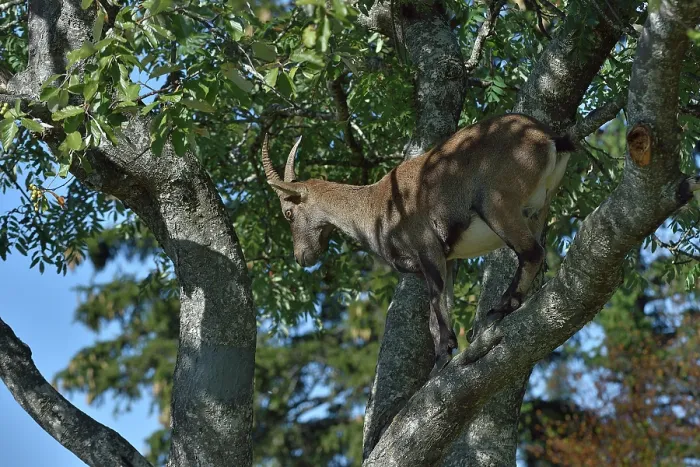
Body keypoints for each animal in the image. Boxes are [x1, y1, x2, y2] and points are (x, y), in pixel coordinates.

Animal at [262, 113, 575, 369]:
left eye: (288, 213)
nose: (303, 256)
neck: (375, 206)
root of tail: (546, 137)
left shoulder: (427, 247)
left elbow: (434, 306)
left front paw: (444, 355)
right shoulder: (448, 260)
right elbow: (440, 308)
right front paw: (442, 356)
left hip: (498, 206)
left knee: (532, 252)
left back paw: (500, 308)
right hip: (538, 209)